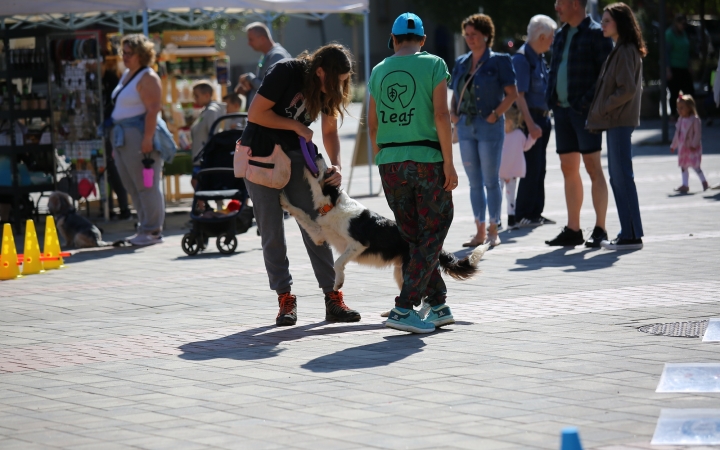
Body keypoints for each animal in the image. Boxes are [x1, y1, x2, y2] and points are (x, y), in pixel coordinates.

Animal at [278, 155, 490, 294]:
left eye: (329, 170)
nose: (318, 153)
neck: (333, 203)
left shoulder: (358, 244)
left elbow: (338, 263)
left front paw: (338, 283)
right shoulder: (319, 235)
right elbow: (301, 213)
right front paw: (283, 199)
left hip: (408, 269)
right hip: (400, 271)